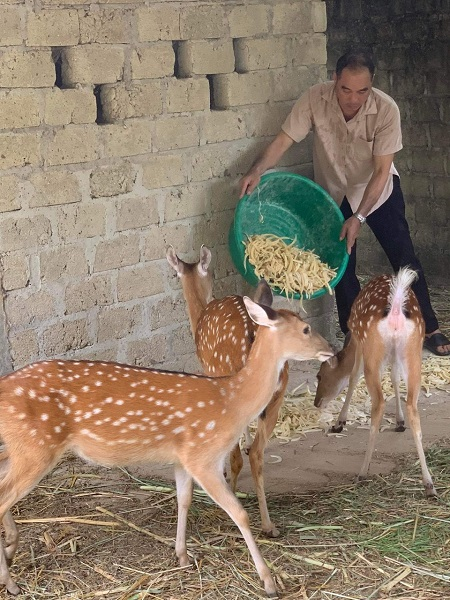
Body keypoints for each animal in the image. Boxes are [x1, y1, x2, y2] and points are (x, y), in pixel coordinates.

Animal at [0, 296, 330, 596]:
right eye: (305, 328)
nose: (330, 348)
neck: (231, 402)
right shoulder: (203, 456)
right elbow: (238, 513)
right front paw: (269, 582)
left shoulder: (182, 459)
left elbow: (183, 500)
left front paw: (182, 555)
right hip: (37, 446)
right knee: (3, 497)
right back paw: (11, 582)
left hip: (20, 446)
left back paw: (11, 551)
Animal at [314, 270, 438, 500]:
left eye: (319, 375)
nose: (317, 402)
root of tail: (396, 311)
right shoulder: (394, 355)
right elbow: (395, 377)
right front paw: (399, 422)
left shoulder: (359, 342)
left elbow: (353, 376)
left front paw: (339, 422)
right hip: (412, 353)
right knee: (413, 407)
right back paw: (429, 485)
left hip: (373, 349)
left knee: (378, 404)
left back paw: (362, 472)